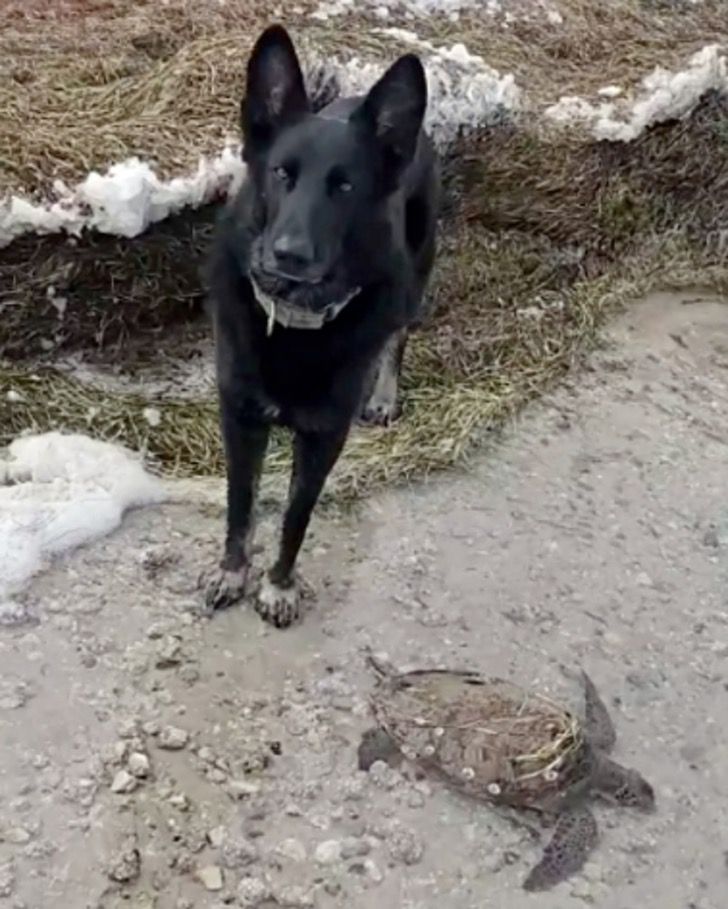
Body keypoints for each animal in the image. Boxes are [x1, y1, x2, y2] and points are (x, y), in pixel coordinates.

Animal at [206, 24, 444, 628]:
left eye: (344, 187)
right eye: (281, 173)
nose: (289, 254)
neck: (295, 322)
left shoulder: (324, 435)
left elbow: (296, 516)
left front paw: (278, 586)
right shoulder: (240, 417)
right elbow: (240, 504)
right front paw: (233, 572)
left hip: (417, 268)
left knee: (398, 334)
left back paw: (383, 395)